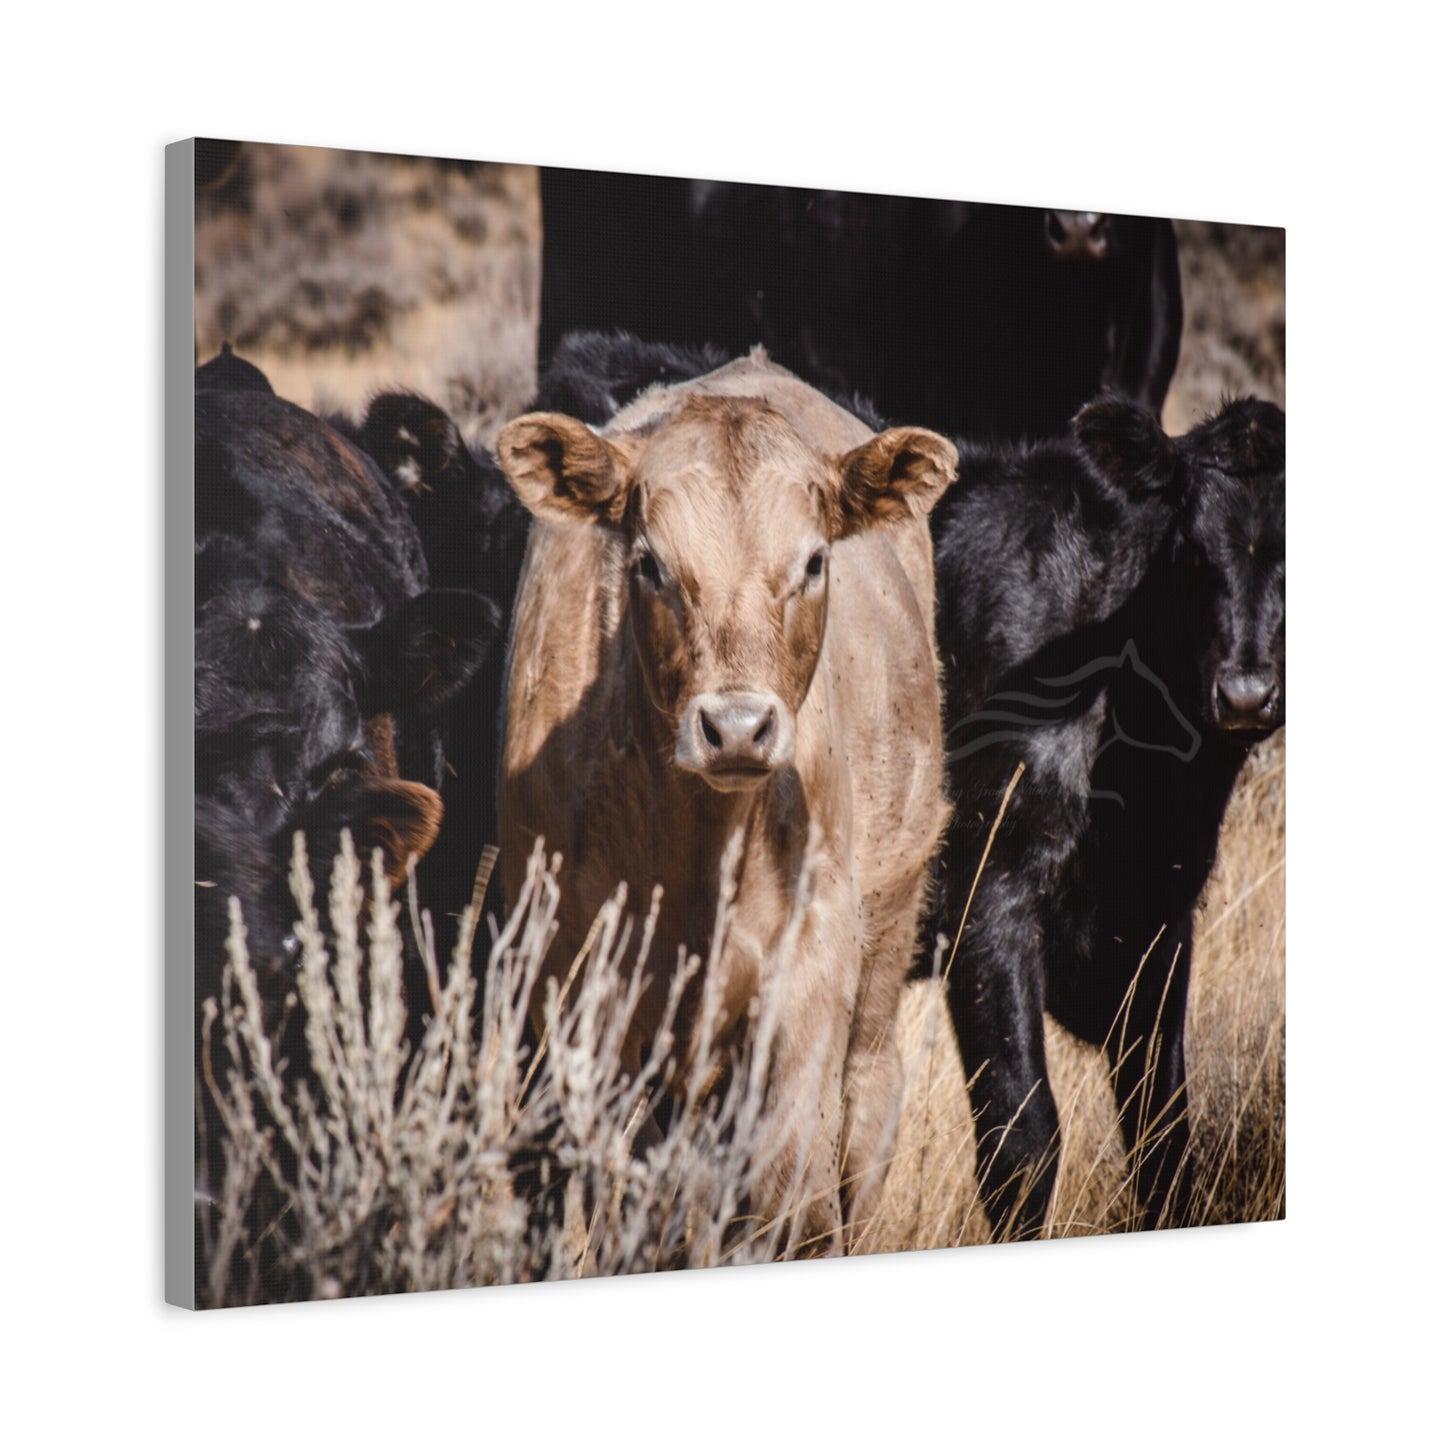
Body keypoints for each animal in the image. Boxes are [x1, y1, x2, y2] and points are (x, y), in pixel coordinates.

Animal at [493, 352, 956, 1252]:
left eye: (812, 561)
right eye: (650, 563)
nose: (736, 727)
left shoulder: (807, 978)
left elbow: (789, 1199)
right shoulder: (575, 989)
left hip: (884, 946)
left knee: (863, 1113)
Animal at [928, 394, 1285, 1237]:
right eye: (1189, 549)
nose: (1246, 694)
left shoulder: (1162, 917)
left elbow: (1163, 1135)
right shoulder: (985, 896)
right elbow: (1021, 1141)